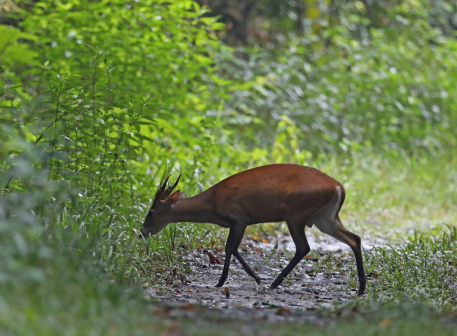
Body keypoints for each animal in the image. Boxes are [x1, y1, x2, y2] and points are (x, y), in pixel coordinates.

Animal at [141, 164, 366, 296]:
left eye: (150, 213)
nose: (142, 233)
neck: (211, 205)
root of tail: (339, 187)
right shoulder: (238, 222)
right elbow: (231, 248)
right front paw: (232, 280)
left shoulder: (239, 218)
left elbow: (230, 247)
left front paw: (228, 281)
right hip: (325, 218)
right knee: (354, 238)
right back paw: (361, 288)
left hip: (296, 214)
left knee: (304, 247)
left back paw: (274, 284)